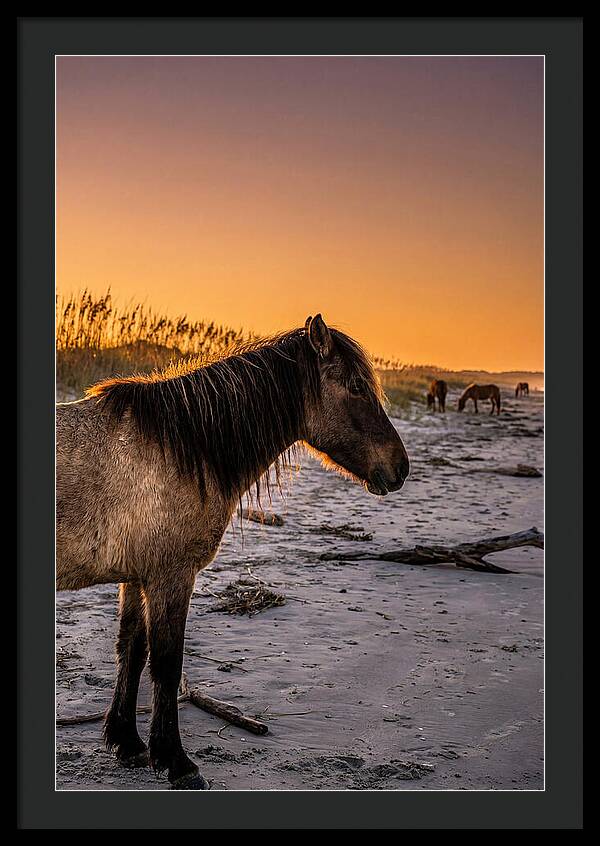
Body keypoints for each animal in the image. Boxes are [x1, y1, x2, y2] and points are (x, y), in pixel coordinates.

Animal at [56, 314, 410, 790]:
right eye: (356, 387)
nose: (400, 468)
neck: (181, 448)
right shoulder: (171, 576)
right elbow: (167, 663)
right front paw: (176, 761)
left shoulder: (137, 576)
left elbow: (132, 648)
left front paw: (127, 742)